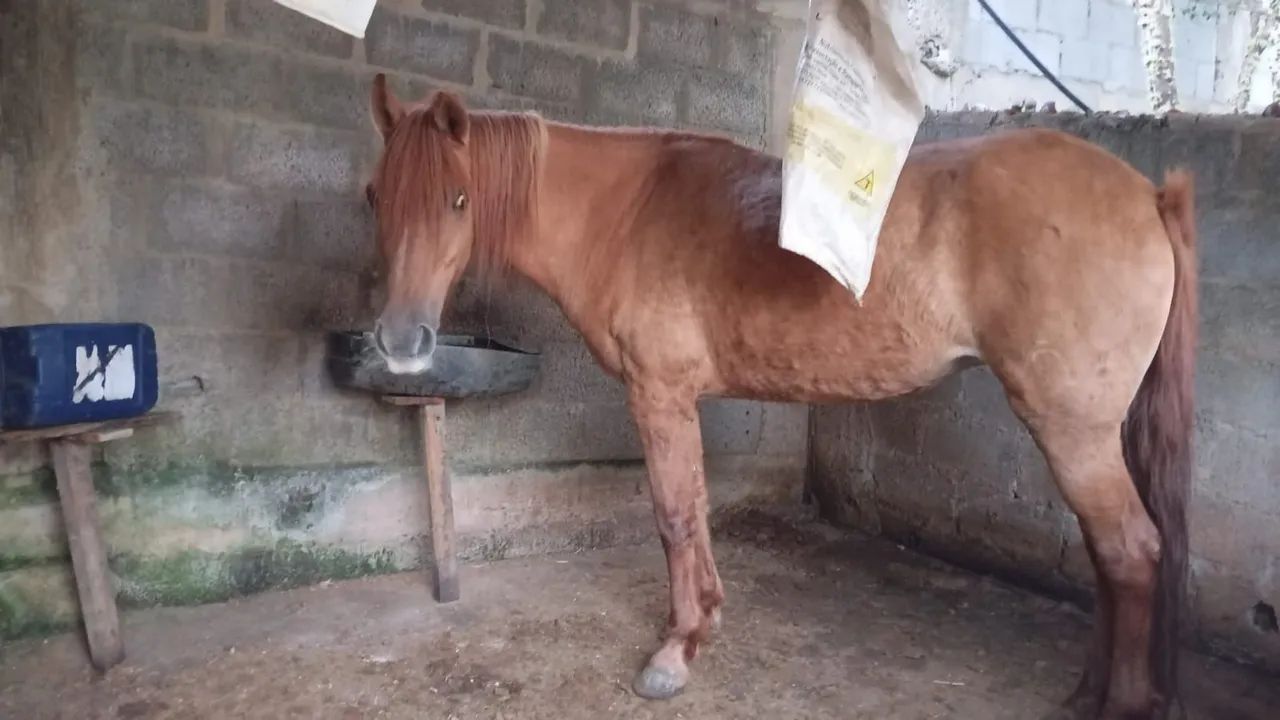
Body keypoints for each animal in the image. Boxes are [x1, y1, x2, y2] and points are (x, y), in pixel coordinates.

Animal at [362, 74, 1196, 720]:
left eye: (459, 199)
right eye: (376, 196)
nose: (401, 342)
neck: (627, 213)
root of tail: (1150, 193)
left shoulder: (658, 394)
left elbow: (673, 514)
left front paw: (674, 650)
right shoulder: (678, 400)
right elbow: (695, 508)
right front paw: (703, 621)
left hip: (1070, 428)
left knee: (1131, 551)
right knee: (1109, 554)